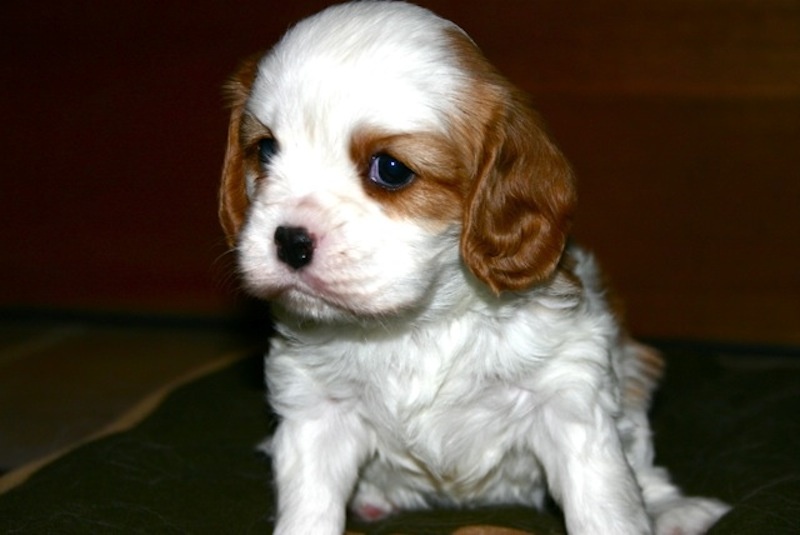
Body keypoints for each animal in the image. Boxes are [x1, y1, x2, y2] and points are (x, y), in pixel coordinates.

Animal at [217, 2, 724, 532]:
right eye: (265, 151)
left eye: (390, 169)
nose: (290, 242)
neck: (418, 324)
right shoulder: (316, 409)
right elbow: (310, 507)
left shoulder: (568, 397)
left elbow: (604, 504)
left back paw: (674, 510)